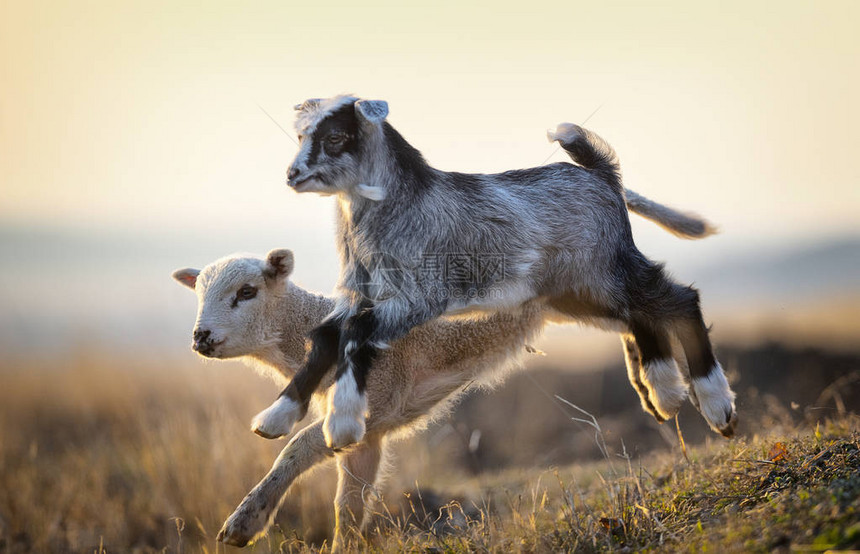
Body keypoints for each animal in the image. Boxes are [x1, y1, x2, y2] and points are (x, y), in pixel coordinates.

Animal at [171, 249, 544, 548]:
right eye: (199, 294)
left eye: (247, 291)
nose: (201, 337)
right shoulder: (369, 435)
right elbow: (349, 507)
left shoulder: (375, 401)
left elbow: (298, 446)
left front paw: (244, 522)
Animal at [252, 96, 736, 448]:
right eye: (301, 134)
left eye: (335, 137)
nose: (293, 174)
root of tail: (602, 174)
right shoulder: (360, 293)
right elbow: (326, 337)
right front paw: (274, 418)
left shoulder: (418, 298)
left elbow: (356, 335)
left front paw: (343, 424)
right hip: (576, 290)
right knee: (640, 313)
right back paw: (666, 393)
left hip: (604, 268)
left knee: (678, 299)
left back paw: (716, 407)